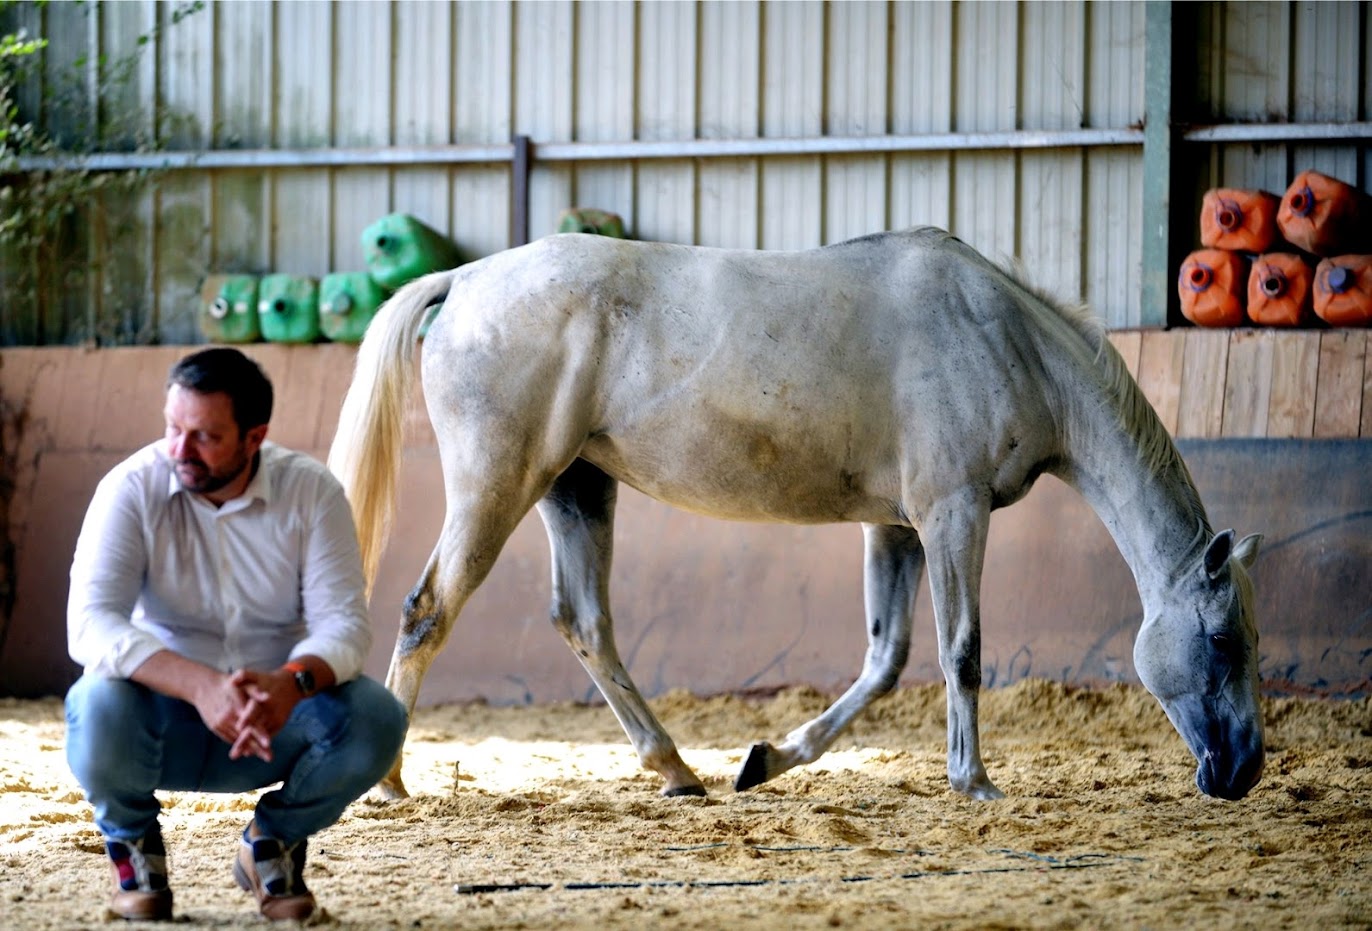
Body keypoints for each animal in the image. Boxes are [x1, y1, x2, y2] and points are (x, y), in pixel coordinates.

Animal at [327, 227, 1265, 803]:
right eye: (1223, 640)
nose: (1244, 769)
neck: (1003, 334)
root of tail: (467, 279)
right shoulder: (953, 515)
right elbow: (961, 652)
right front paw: (974, 780)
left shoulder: (897, 528)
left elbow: (886, 660)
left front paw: (768, 759)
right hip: (499, 486)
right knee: (427, 610)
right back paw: (391, 781)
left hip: (577, 490)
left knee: (584, 621)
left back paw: (677, 770)